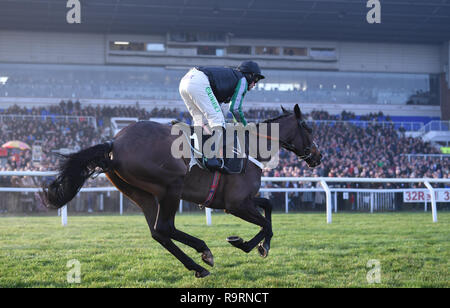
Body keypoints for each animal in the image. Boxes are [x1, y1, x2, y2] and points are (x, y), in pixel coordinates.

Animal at [38, 104, 320, 280]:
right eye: (309, 129)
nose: (318, 156)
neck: (251, 147)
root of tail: (113, 142)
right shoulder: (235, 203)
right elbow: (266, 222)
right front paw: (246, 244)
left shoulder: (241, 201)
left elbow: (269, 207)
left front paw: (261, 245)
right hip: (171, 186)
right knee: (164, 227)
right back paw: (203, 252)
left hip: (139, 193)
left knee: (159, 232)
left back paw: (198, 263)